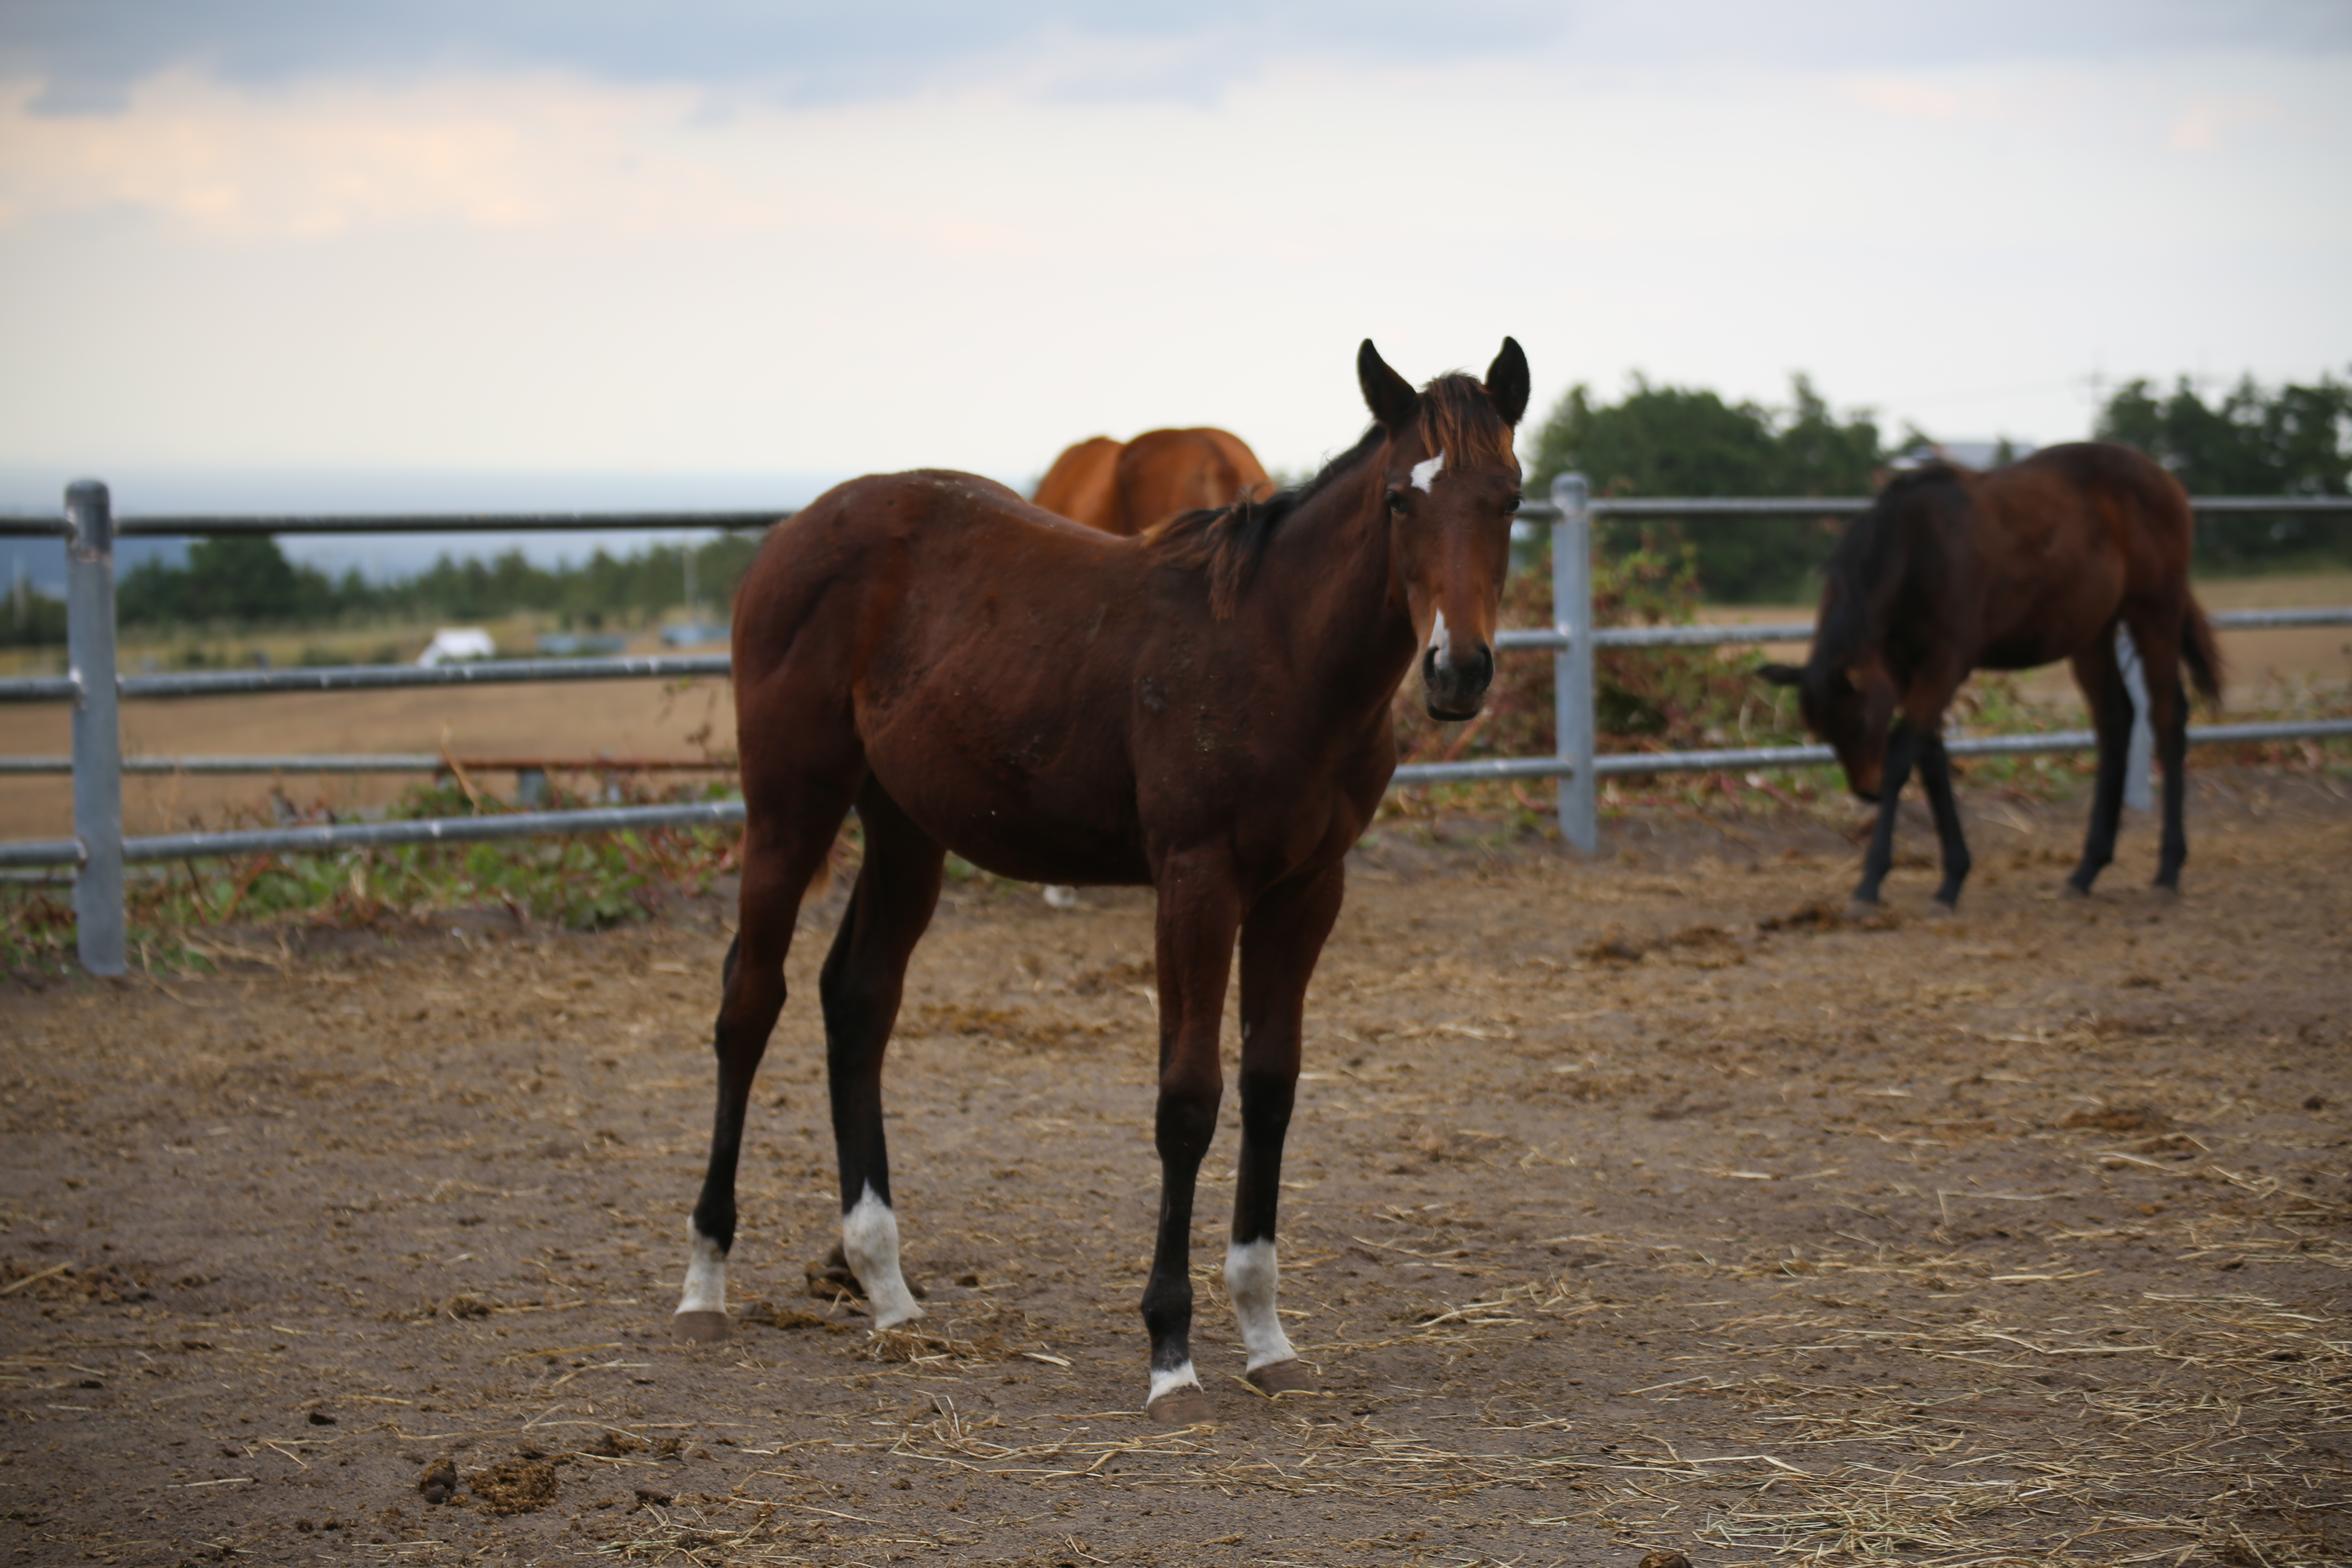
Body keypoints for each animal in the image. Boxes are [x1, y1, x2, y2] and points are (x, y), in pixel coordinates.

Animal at [1768, 442, 2220, 912]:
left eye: (1860, 723)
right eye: (1823, 732)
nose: (1866, 791)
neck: (1916, 551)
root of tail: (2165, 478)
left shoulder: (1945, 665)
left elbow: (1902, 757)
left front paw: (1871, 882)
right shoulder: (1905, 673)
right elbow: (1932, 762)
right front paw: (1952, 877)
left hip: (2155, 612)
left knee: (2168, 718)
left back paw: (2168, 869)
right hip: (2093, 633)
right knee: (2116, 722)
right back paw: (2087, 870)